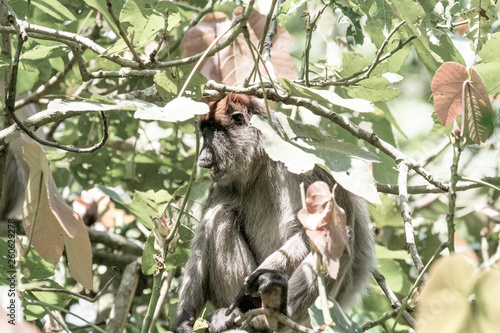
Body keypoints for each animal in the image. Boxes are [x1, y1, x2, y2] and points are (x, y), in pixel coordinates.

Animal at [174, 93, 374, 332]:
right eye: (203, 135)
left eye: (210, 135)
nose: (202, 160)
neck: (263, 160)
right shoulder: (223, 183)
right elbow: (201, 238)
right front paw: (184, 319)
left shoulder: (312, 163)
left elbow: (323, 227)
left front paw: (264, 275)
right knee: (219, 215)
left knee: (340, 235)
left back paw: (278, 309)